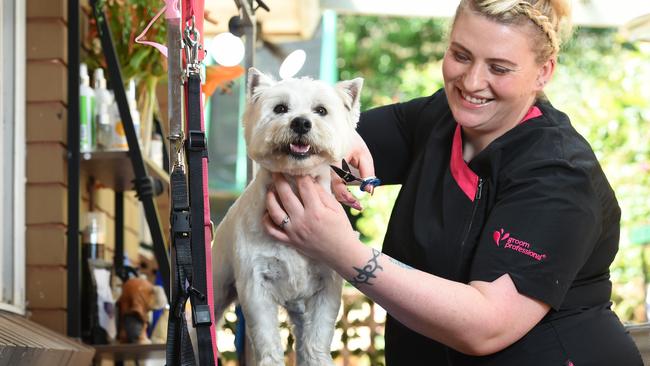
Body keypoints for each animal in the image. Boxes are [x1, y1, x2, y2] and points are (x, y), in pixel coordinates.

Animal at [214, 67, 362, 364]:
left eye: (321, 110)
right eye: (280, 108)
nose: (301, 123)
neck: (294, 187)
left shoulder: (327, 287)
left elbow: (317, 339)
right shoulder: (255, 285)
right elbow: (267, 339)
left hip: (300, 307)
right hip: (215, 285)